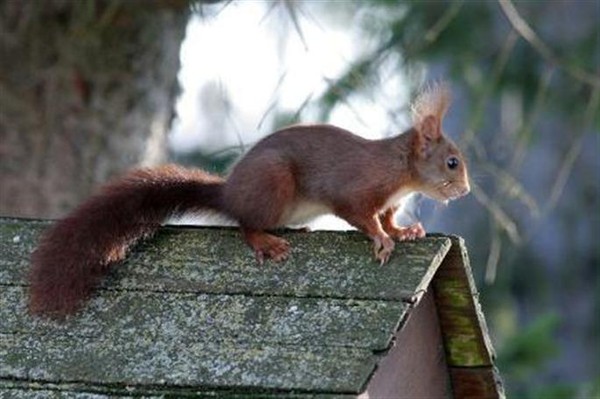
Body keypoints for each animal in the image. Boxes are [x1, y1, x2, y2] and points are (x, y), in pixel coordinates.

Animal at [27, 83, 468, 318]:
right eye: (452, 162)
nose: (465, 191)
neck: (401, 171)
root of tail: (229, 192)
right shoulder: (356, 189)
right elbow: (361, 215)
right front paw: (382, 240)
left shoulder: (391, 199)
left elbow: (388, 216)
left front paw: (405, 231)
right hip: (273, 184)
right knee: (244, 224)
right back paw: (265, 241)